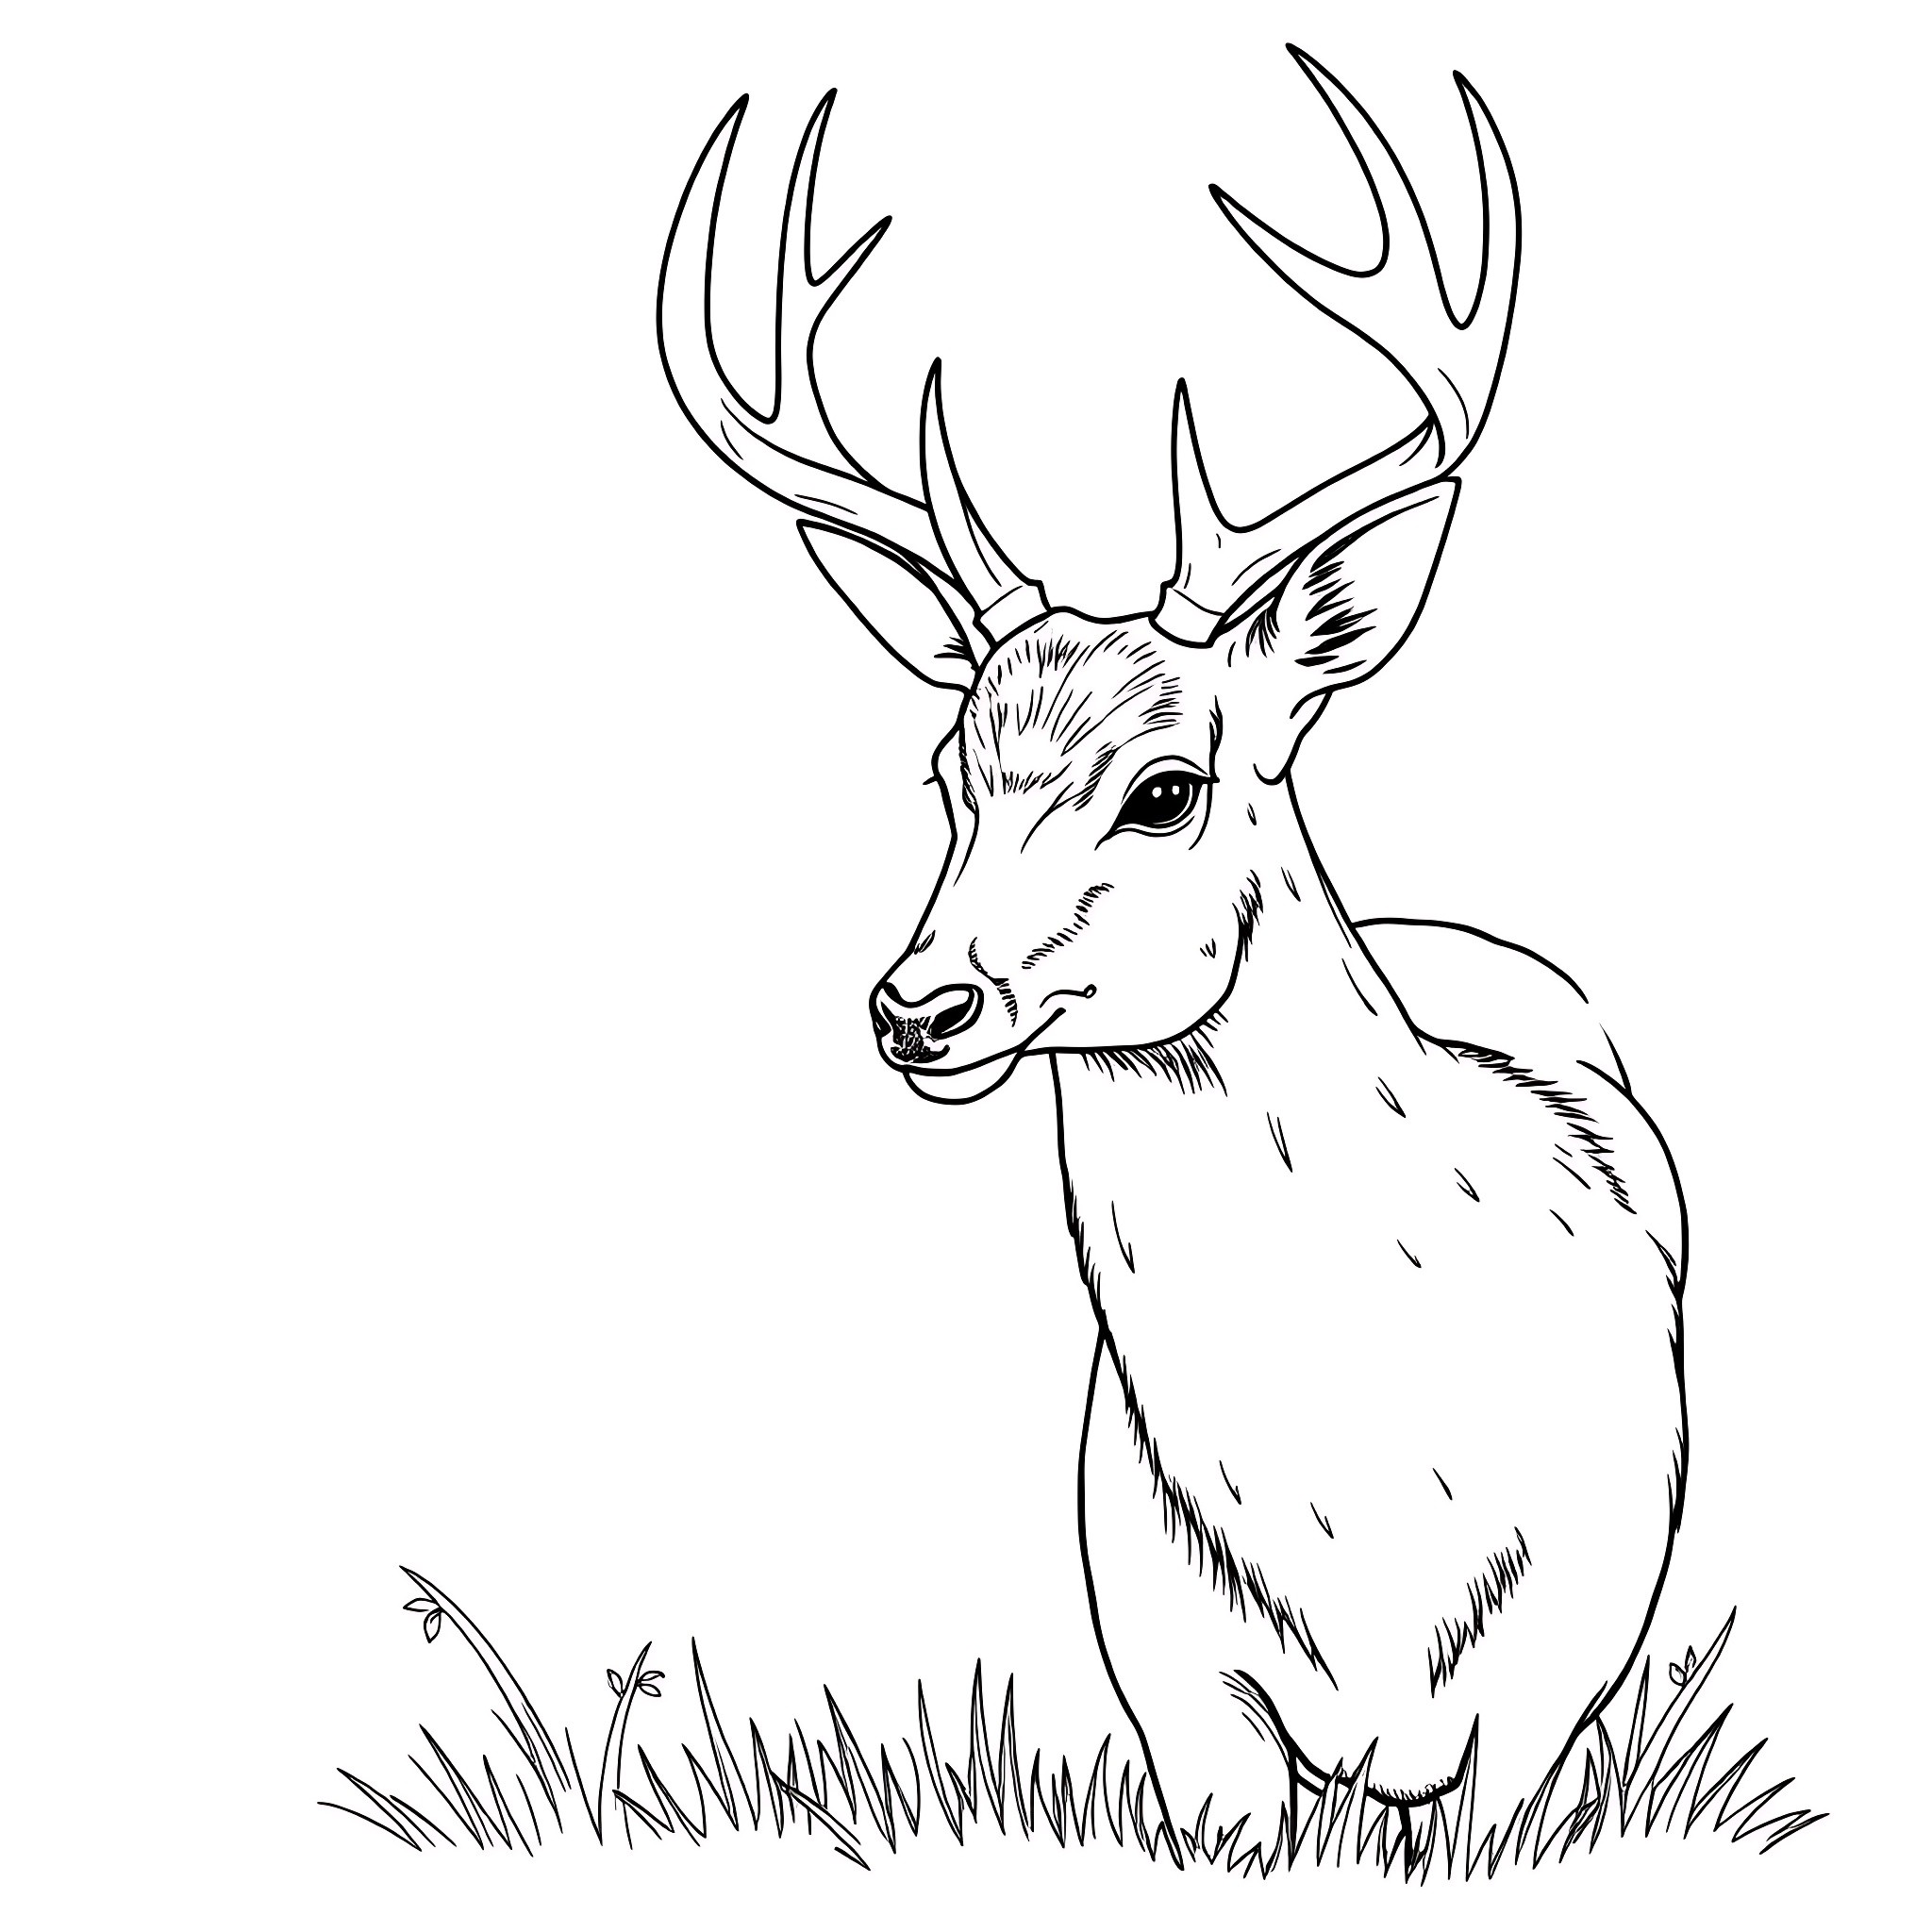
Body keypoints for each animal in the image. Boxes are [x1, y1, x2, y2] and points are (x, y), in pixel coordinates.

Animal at [659, 48, 1688, 1866]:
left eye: (1163, 787)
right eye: (946, 772)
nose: (918, 1005)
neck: (1367, 1537)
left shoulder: (1556, 1672)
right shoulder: (1173, 1679)